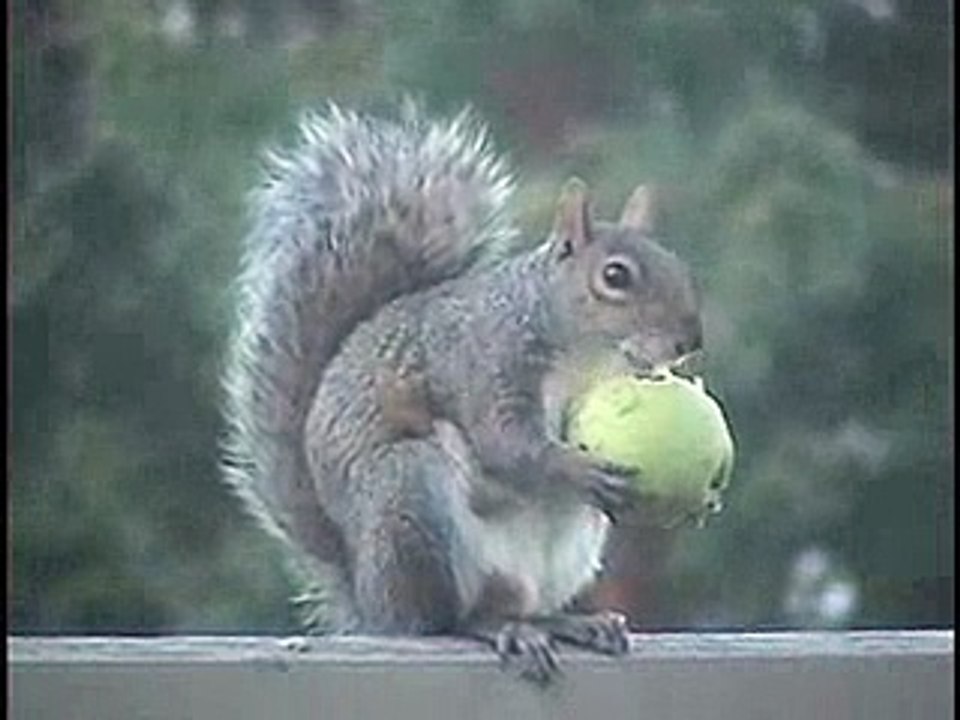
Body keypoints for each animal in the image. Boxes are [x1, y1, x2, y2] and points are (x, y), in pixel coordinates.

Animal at [223, 104, 703, 685]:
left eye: (676, 263)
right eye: (615, 276)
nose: (690, 340)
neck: (582, 355)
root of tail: (368, 595)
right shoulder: (483, 366)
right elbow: (506, 446)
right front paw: (578, 469)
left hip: (565, 553)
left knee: (521, 603)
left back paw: (569, 623)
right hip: (409, 497)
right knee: (448, 619)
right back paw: (496, 629)